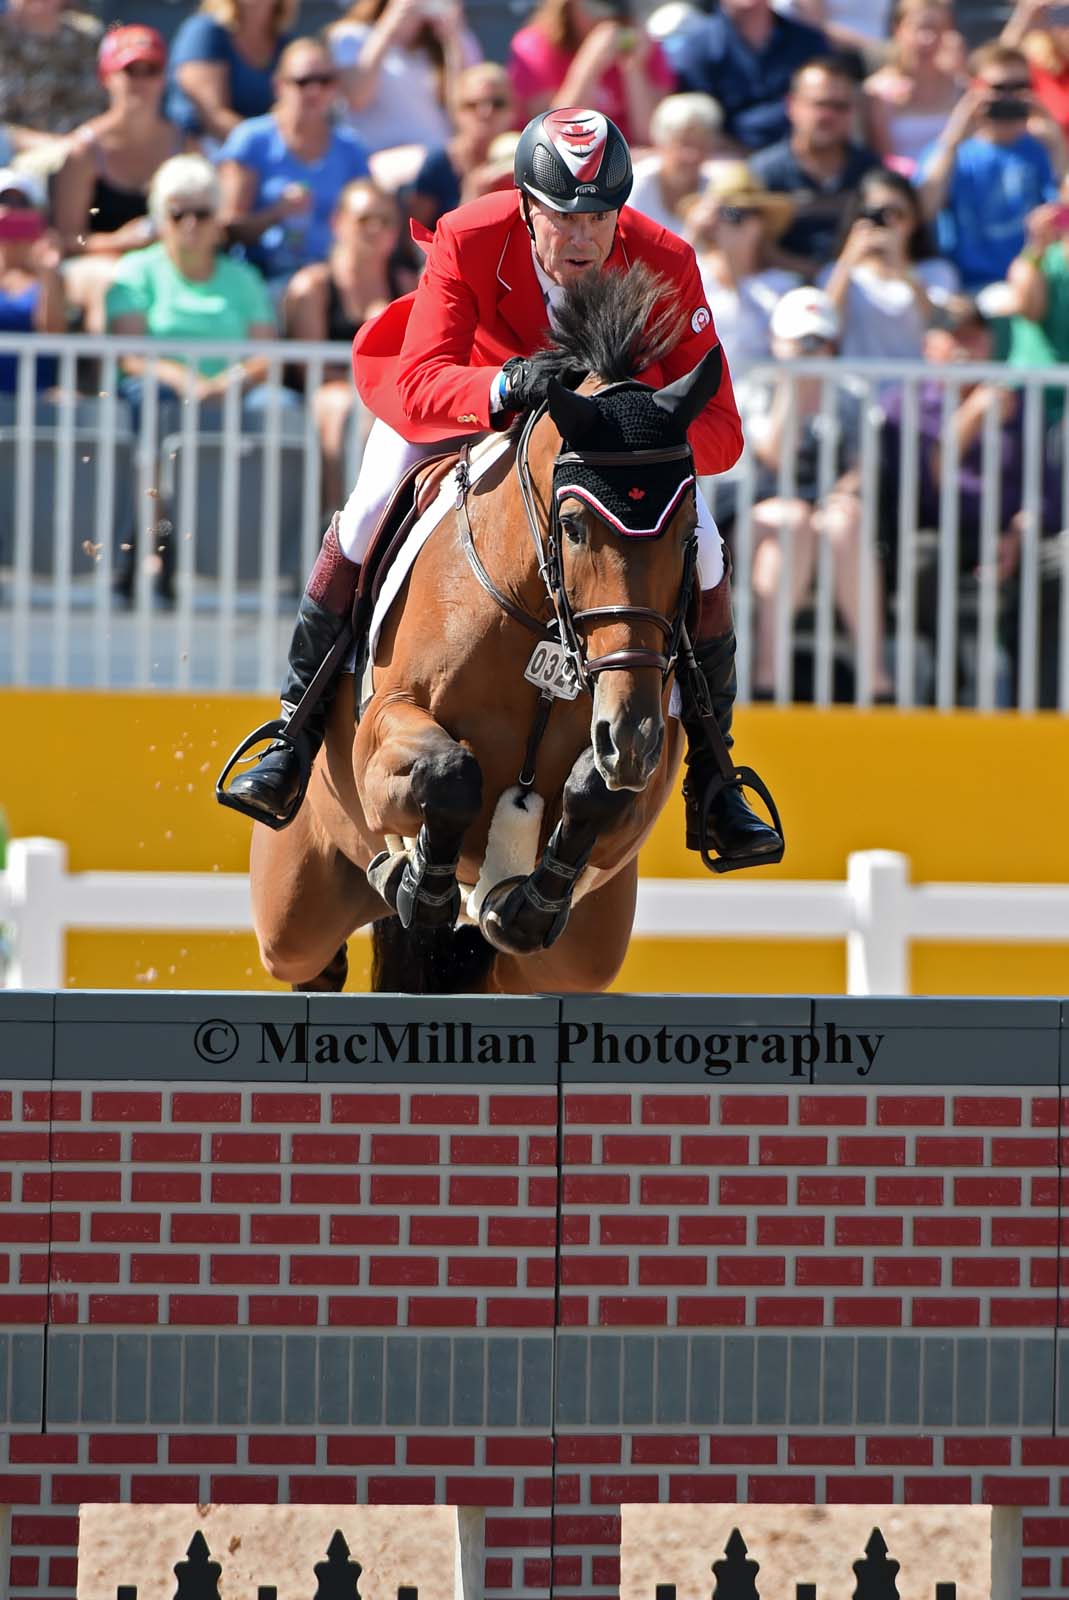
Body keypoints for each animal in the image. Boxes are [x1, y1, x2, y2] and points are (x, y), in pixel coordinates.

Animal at [248, 268, 736, 992]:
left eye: (685, 537)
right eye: (572, 526)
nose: (629, 737)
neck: (541, 624)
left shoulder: (641, 777)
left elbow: (600, 796)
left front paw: (521, 906)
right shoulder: (383, 729)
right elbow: (448, 772)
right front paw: (418, 883)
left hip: (576, 957)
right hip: (296, 897)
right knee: (309, 954)